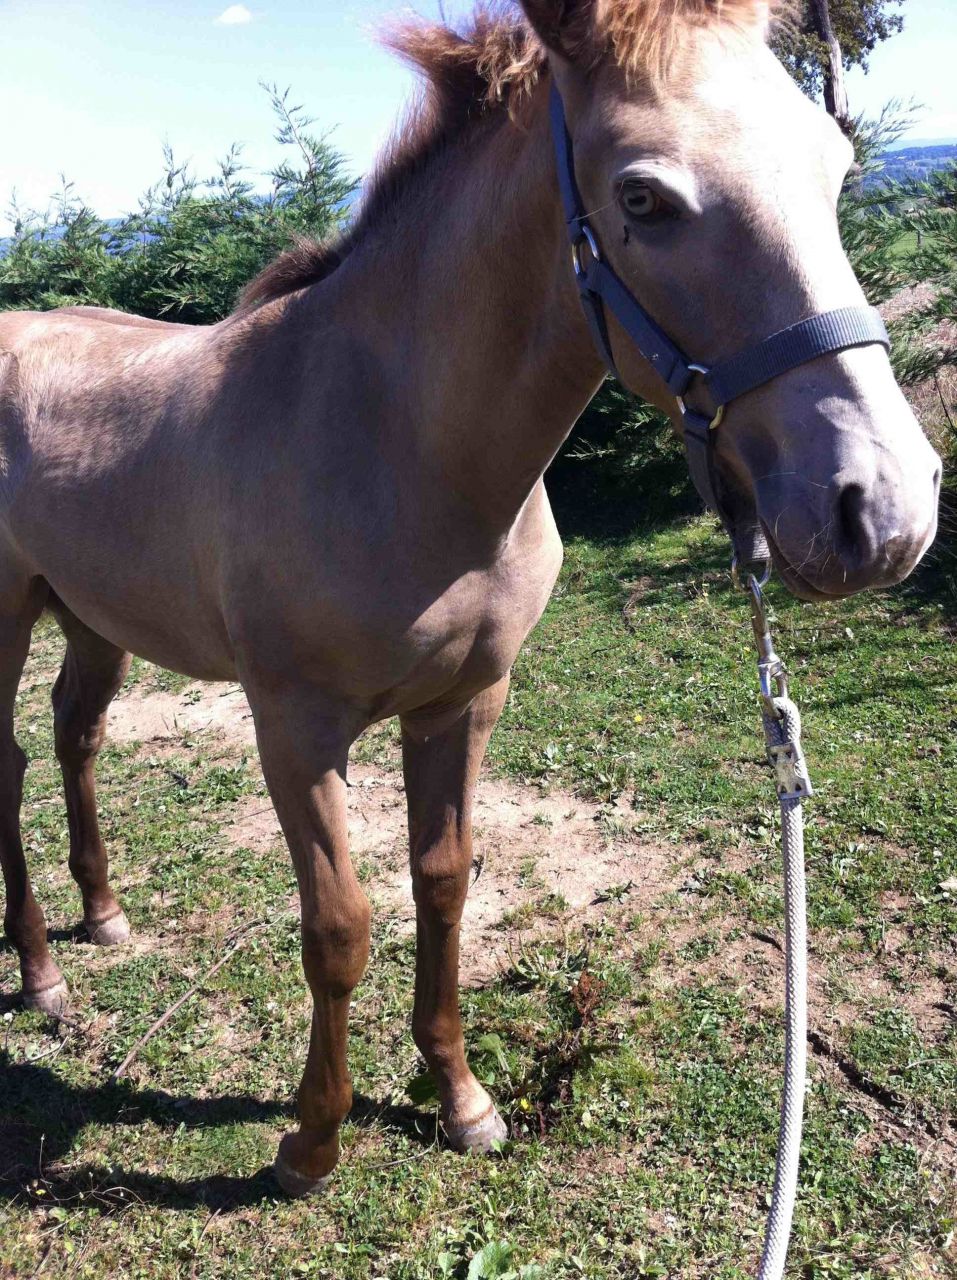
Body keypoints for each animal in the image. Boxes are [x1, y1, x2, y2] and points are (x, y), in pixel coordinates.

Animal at [0, 0, 941, 1197]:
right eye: (642, 197)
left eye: (834, 164)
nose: (882, 510)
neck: (395, 441)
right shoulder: (294, 728)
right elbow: (339, 927)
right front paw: (311, 1140)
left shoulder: (464, 703)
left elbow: (442, 887)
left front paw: (460, 1099)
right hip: (7, 614)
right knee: (10, 763)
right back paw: (39, 973)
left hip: (93, 618)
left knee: (75, 738)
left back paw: (104, 918)